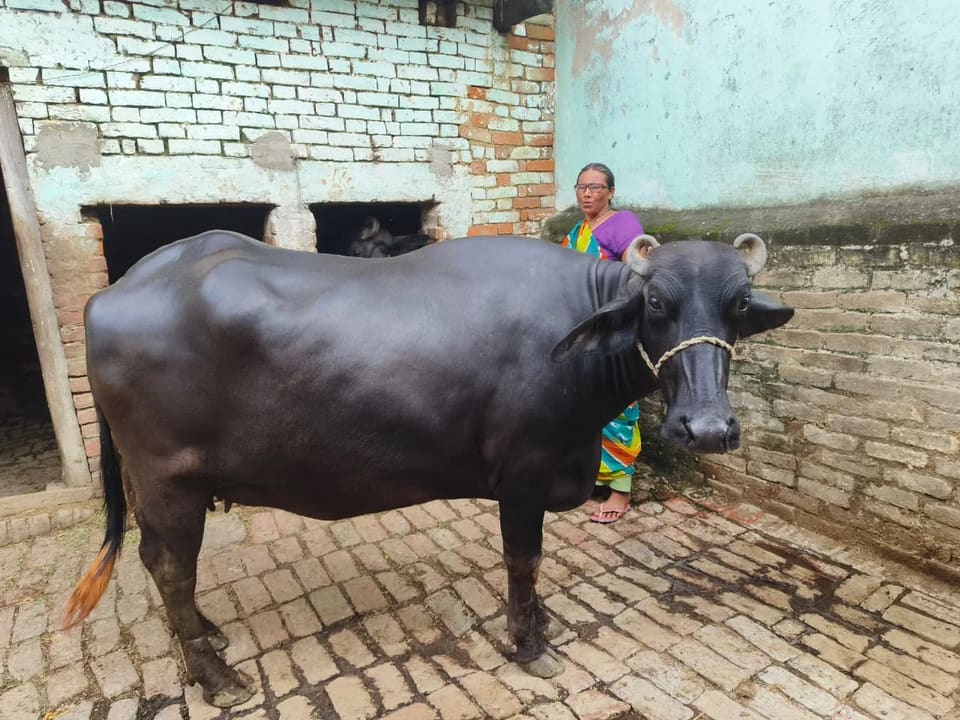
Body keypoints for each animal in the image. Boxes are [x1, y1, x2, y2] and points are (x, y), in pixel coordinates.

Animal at [65, 231, 792, 706]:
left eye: (738, 305)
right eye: (657, 305)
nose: (707, 428)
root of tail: (112, 293)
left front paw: (543, 623)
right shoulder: (525, 472)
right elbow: (524, 559)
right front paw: (530, 644)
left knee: (161, 563)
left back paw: (208, 639)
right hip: (167, 477)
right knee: (169, 565)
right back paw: (218, 679)